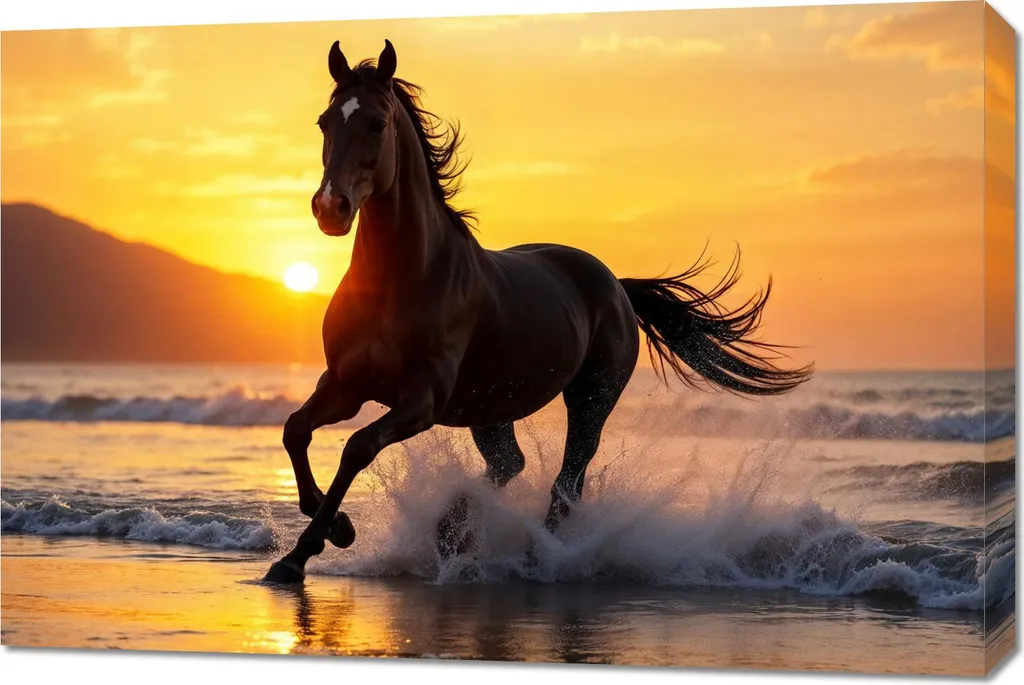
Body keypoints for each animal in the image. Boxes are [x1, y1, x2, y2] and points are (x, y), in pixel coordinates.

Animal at [264, 39, 814, 584]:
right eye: (324, 121)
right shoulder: (345, 385)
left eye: (377, 123)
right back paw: (454, 532)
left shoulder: (422, 399)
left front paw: (299, 555)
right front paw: (338, 529)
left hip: (590, 400)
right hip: (490, 409)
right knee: (510, 465)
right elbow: (295, 430)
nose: (330, 207)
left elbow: (357, 446)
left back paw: (534, 559)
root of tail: (615, 285)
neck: (401, 280)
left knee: (565, 484)